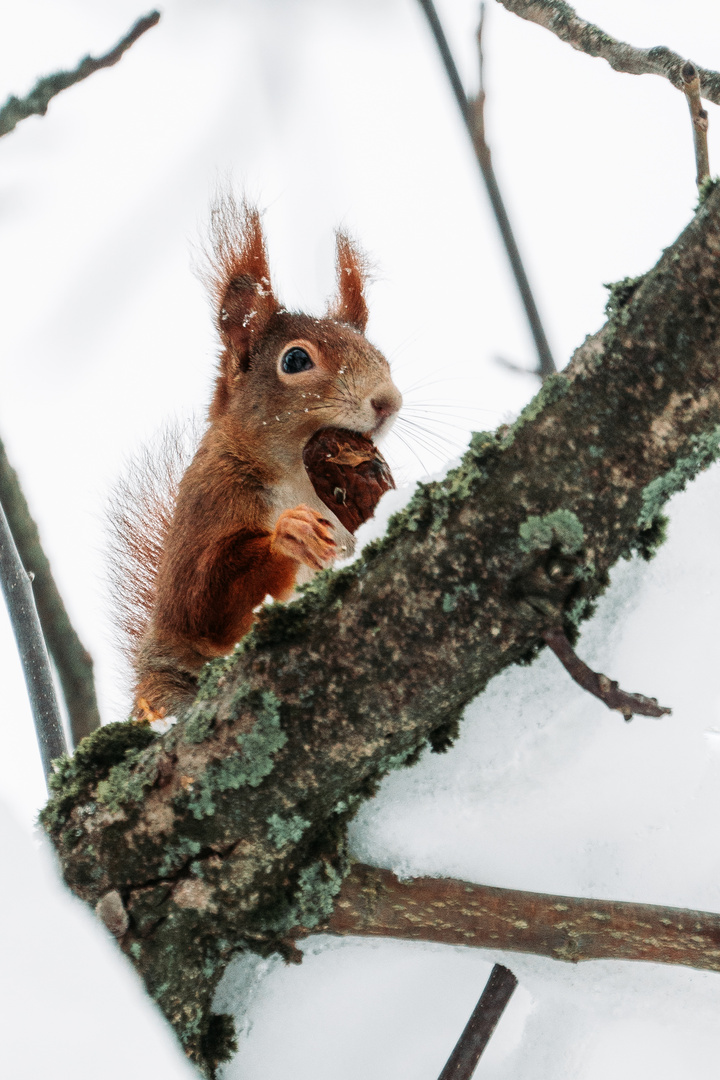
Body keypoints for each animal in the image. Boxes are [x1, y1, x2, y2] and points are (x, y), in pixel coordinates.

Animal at [108, 198, 399, 721]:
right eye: (296, 361)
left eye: (380, 355)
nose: (389, 401)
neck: (297, 475)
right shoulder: (209, 505)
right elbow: (200, 606)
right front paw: (290, 534)